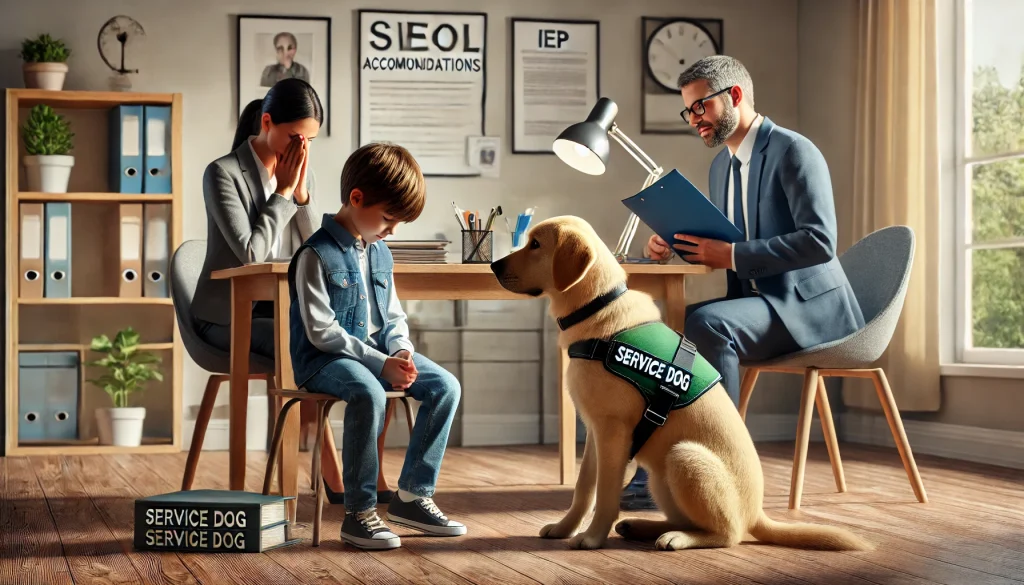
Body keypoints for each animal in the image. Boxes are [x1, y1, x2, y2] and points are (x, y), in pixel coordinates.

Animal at [489, 216, 872, 553]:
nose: (493, 266)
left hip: (684, 456)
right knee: (689, 520)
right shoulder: (595, 432)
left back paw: (675, 538)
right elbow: (584, 489)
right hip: (660, 475)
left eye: (535, 245)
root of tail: (756, 515)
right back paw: (643, 527)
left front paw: (592, 537)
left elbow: (606, 495)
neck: (597, 309)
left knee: (727, 534)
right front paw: (565, 527)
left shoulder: (613, 432)